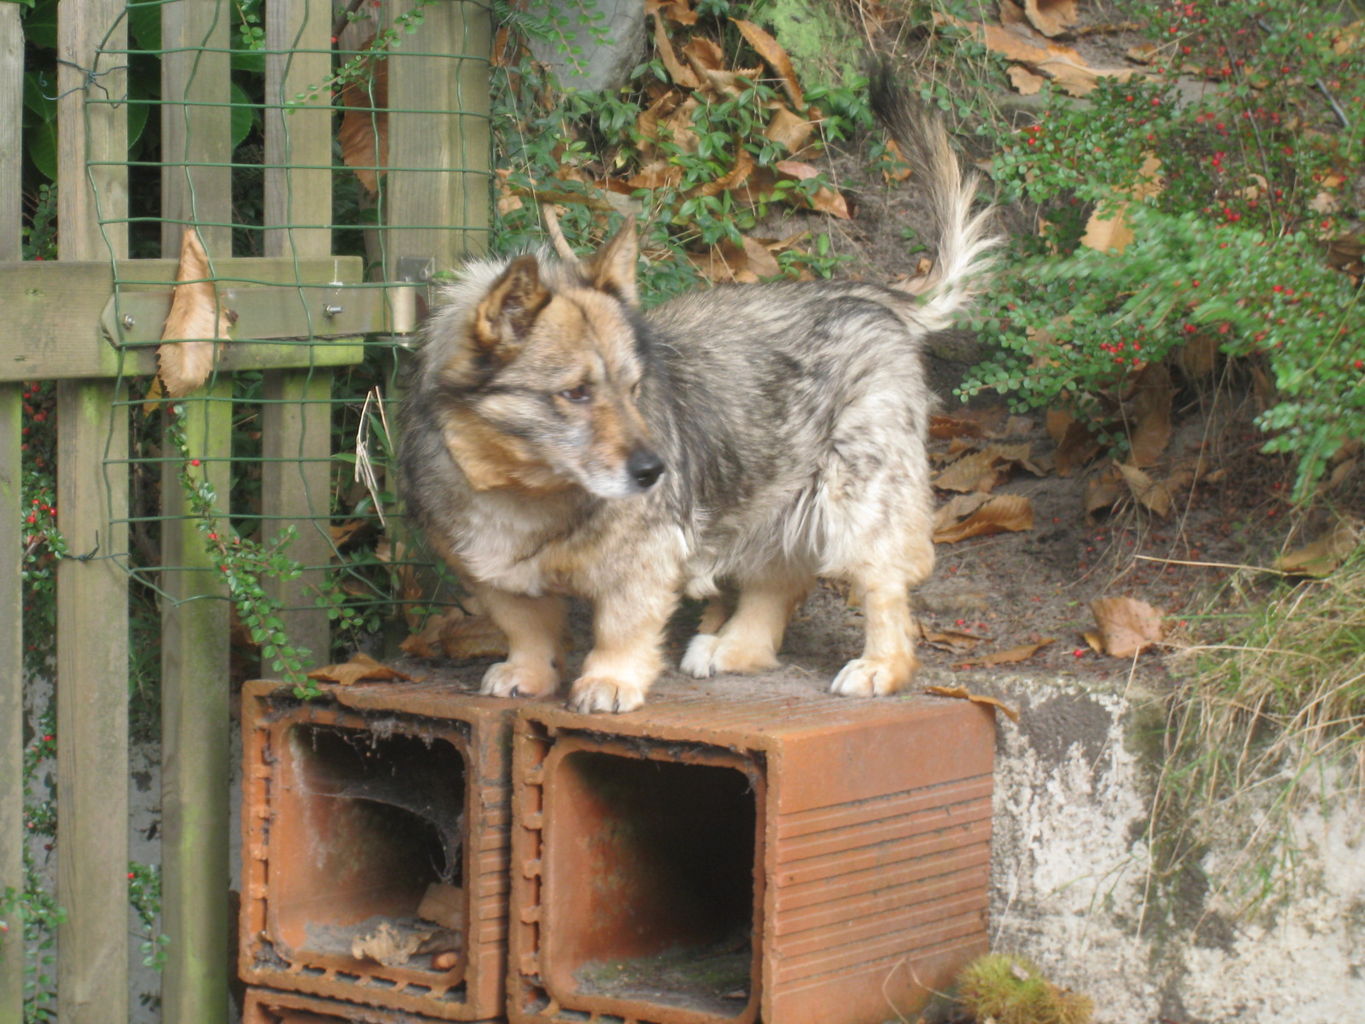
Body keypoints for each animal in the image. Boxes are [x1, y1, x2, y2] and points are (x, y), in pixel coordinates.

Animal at [398, 70, 999, 715]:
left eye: (635, 388)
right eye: (576, 393)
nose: (653, 471)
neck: (524, 492)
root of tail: (870, 295)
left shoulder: (644, 561)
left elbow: (621, 625)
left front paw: (610, 679)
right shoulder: (491, 576)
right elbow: (525, 627)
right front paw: (529, 672)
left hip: (861, 503)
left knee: (883, 587)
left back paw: (881, 667)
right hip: (772, 494)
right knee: (776, 582)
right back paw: (735, 647)